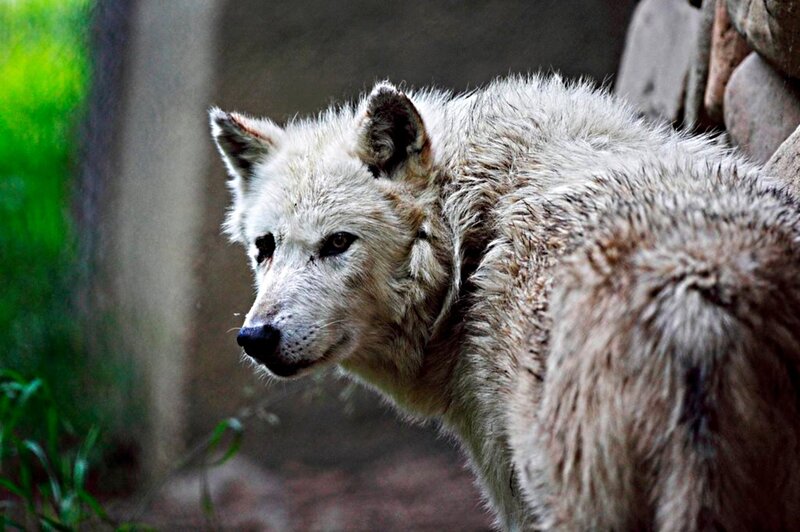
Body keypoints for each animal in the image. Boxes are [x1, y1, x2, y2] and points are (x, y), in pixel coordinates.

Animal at [209, 75, 800, 530]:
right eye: (265, 247)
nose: (256, 337)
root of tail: (697, 303)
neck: (469, 237)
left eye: (337, 243)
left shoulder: (511, 486)